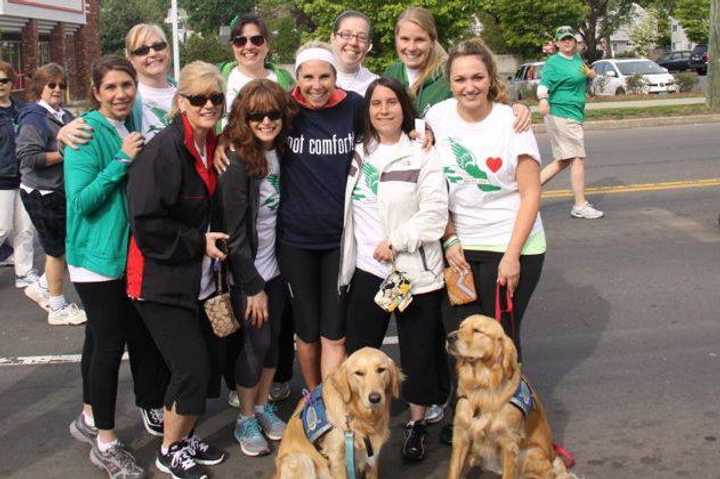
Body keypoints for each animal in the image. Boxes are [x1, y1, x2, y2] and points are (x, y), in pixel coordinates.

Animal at [272, 348, 402, 479]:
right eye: (359, 373)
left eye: (381, 370)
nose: (375, 398)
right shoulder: (337, 458)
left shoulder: (372, 456)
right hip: (301, 459)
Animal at [448, 316, 576, 479]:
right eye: (460, 327)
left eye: (477, 330)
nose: (449, 337)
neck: (482, 386)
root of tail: (553, 457)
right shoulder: (461, 435)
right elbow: (453, 471)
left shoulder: (508, 442)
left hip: (529, 453)